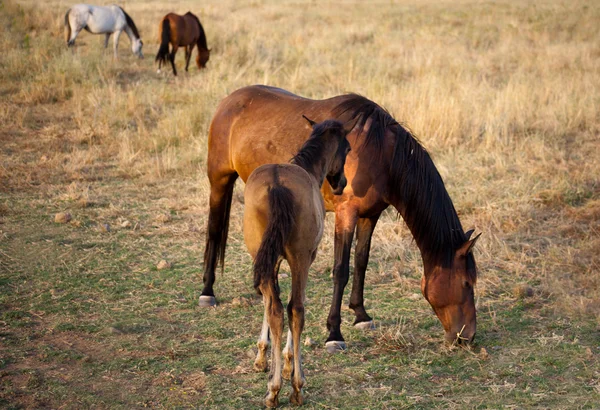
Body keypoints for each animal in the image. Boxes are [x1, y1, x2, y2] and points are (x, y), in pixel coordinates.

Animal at [202, 84, 482, 350]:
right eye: (467, 283)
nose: (467, 337)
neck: (382, 152)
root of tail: (229, 101)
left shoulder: (370, 215)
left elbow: (361, 261)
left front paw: (361, 315)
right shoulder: (345, 214)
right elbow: (341, 270)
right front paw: (334, 334)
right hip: (219, 180)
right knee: (214, 231)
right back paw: (207, 291)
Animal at [245, 117, 352, 406]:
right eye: (348, 148)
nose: (342, 183)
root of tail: (277, 186)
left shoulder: (269, 259)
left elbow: (269, 303)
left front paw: (264, 358)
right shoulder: (304, 259)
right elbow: (293, 306)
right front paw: (287, 363)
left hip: (265, 256)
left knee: (276, 308)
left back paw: (273, 390)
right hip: (300, 259)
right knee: (296, 309)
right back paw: (295, 387)